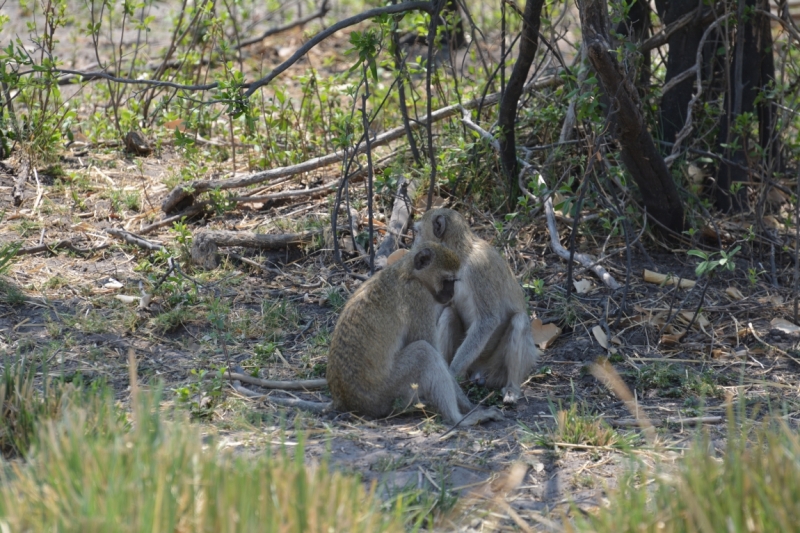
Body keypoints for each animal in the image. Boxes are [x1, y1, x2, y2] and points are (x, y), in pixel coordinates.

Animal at [416, 208, 540, 404]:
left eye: (418, 232)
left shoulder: (478, 269)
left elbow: (488, 320)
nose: (415, 247)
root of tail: (479, 370)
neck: (461, 254)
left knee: (519, 321)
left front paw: (451, 373)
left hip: (497, 367)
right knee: (449, 314)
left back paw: (512, 389)